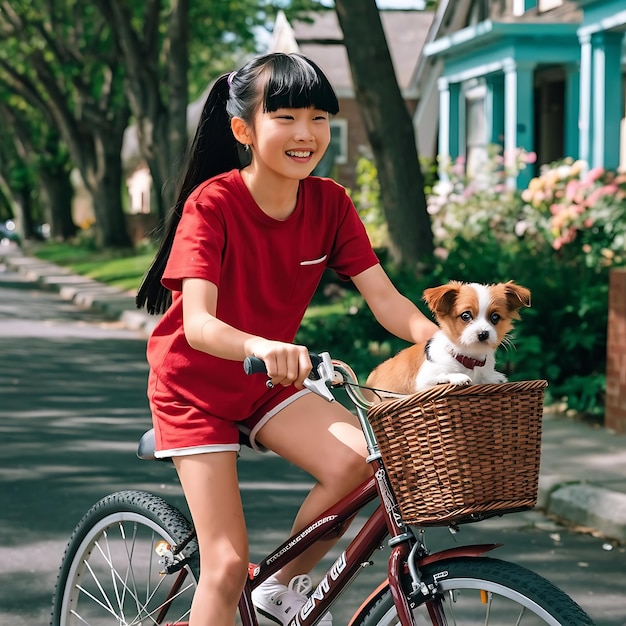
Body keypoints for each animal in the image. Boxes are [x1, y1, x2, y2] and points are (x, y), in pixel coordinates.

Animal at [364, 280, 528, 394]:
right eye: (466, 315)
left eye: (495, 317)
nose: (483, 333)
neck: (469, 359)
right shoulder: (422, 382)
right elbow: (444, 374)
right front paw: (458, 377)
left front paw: (494, 377)